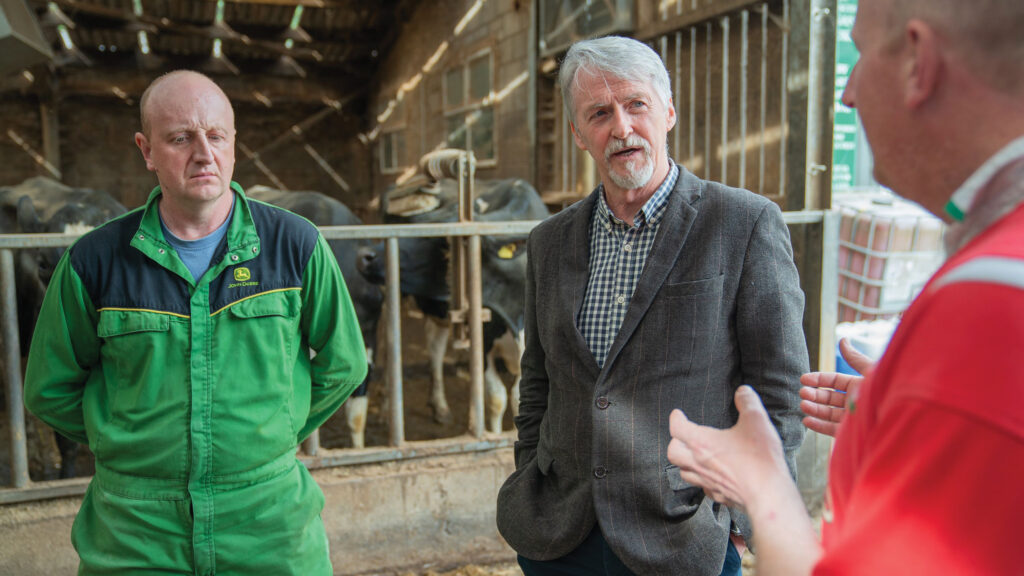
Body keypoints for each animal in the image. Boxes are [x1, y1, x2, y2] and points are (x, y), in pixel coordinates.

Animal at [362, 177, 552, 432]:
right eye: (415, 224)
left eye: (440, 239)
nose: (365, 255)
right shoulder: (483, 338)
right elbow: (497, 397)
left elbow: (516, 397)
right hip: (393, 294)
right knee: (388, 347)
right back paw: (385, 409)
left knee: (435, 345)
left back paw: (440, 406)